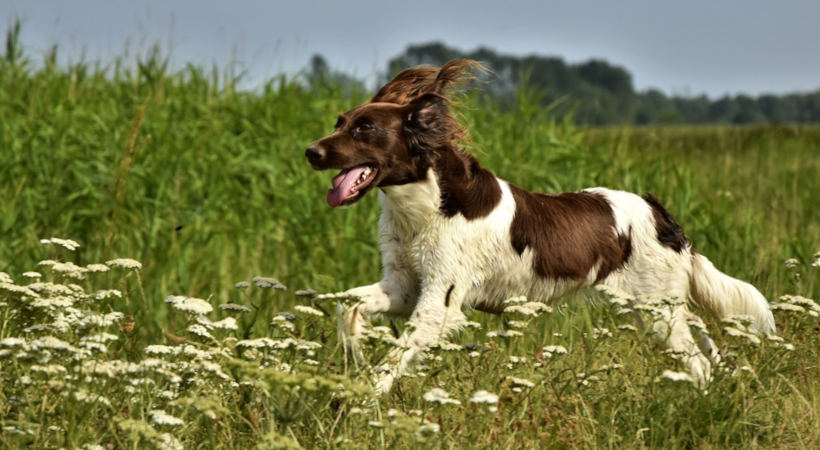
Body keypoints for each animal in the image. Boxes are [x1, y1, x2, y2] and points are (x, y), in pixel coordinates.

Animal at [306, 59, 776, 394]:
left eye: (365, 128)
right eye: (339, 123)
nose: (311, 152)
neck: (427, 205)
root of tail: (662, 214)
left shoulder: (439, 302)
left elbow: (390, 363)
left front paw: (358, 402)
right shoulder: (404, 286)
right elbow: (346, 307)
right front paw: (354, 351)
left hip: (657, 310)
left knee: (698, 364)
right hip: (660, 308)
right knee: (706, 346)